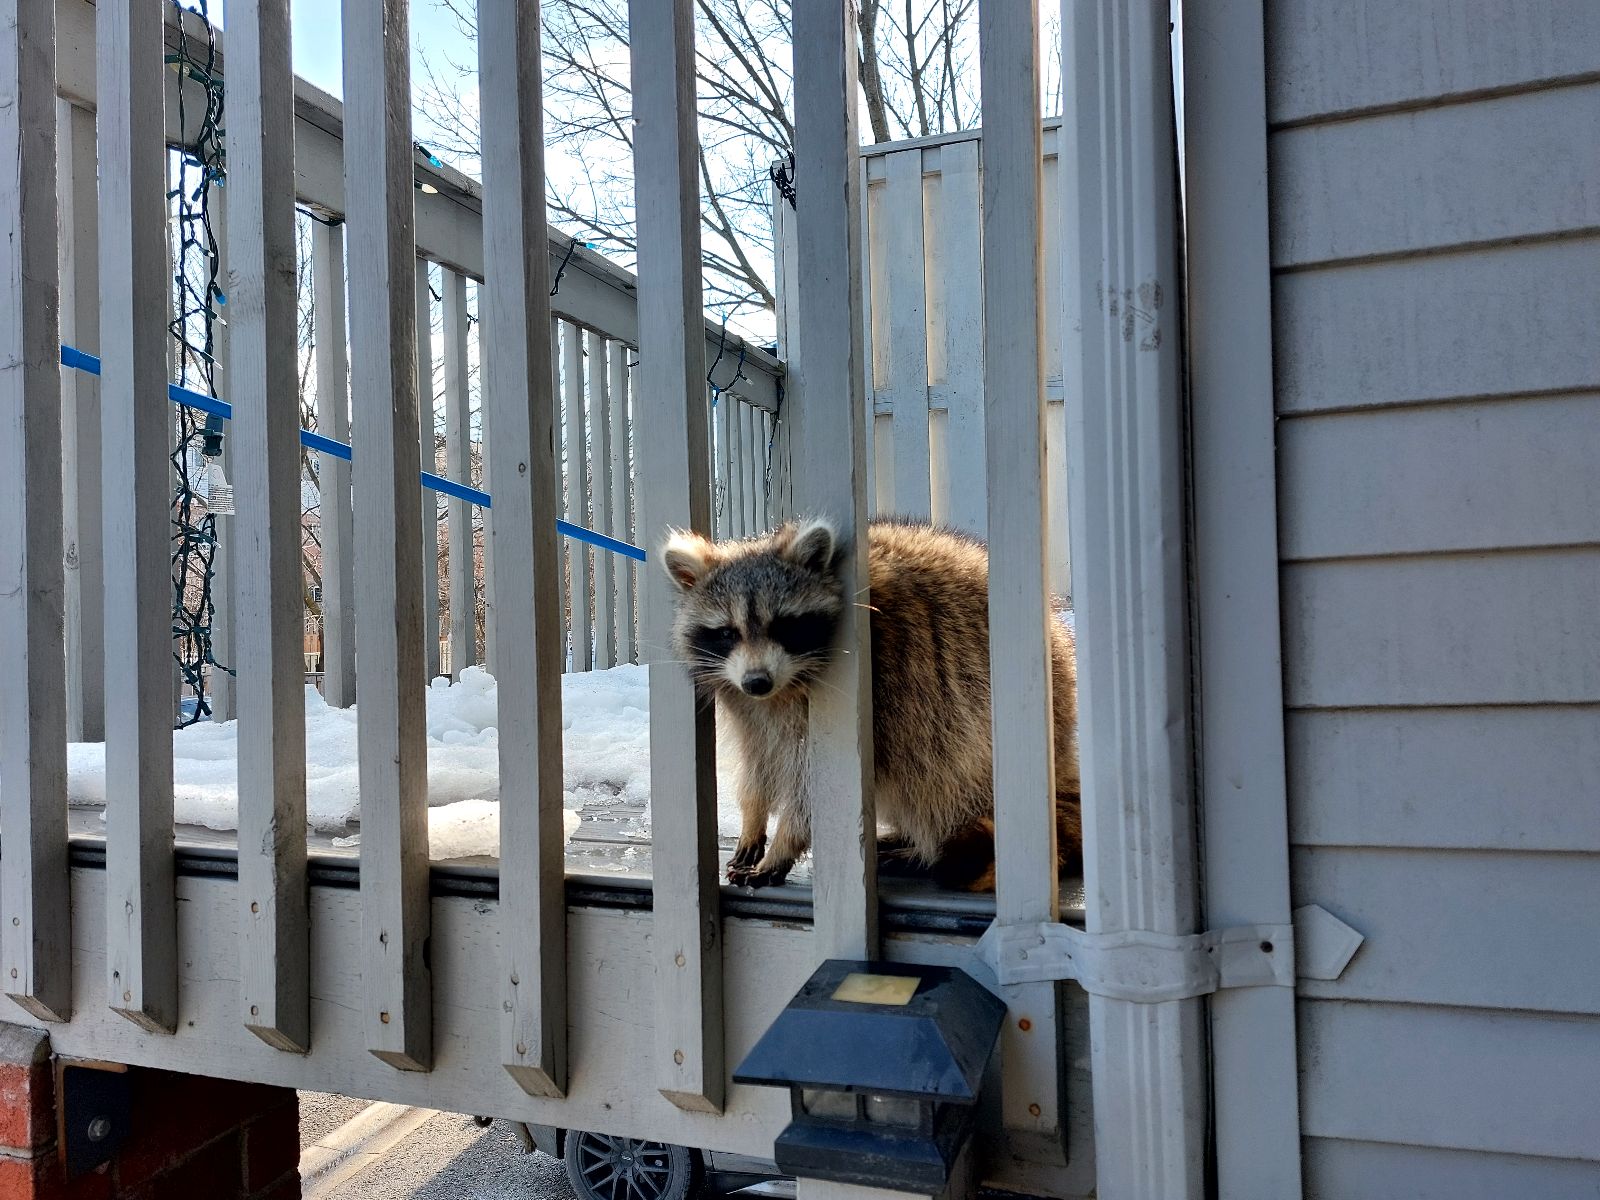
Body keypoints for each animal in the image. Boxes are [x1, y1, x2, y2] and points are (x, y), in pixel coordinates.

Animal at [656, 518, 1081, 896]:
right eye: (728, 633)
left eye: (784, 626)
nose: (757, 681)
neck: (782, 690)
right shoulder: (748, 702)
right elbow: (758, 757)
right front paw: (753, 814)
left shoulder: (871, 688)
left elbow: (811, 782)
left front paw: (785, 842)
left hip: (968, 718)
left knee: (940, 777)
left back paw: (923, 846)